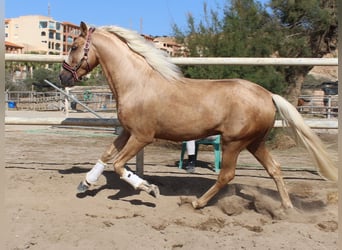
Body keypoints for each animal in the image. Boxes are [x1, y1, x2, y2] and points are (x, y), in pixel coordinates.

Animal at [59, 22, 336, 209]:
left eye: (73, 46)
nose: (62, 77)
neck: (137, 83)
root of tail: (268, 94)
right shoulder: (128, 131)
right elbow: (106, 155)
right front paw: (84, 184)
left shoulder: (142, 136)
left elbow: (118, 165)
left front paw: (150, 189)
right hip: (255, 143)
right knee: (275, 169)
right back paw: (286, 208)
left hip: (233, 142)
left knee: (227, 175)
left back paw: (197, 203)